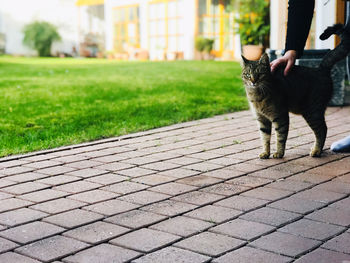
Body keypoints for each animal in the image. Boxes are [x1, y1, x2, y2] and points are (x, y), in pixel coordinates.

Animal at [242, 24, 348, 159]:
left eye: (259, 74)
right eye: (247, 74)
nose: (253, 81)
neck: (257, 95)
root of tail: (320, 69)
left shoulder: (280, 116)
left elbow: (280, 137)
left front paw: (279, 153)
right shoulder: (262, 119)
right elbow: (265, 138)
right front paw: (265, 152)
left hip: (312, 111)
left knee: (322, 129)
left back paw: (316, 151)